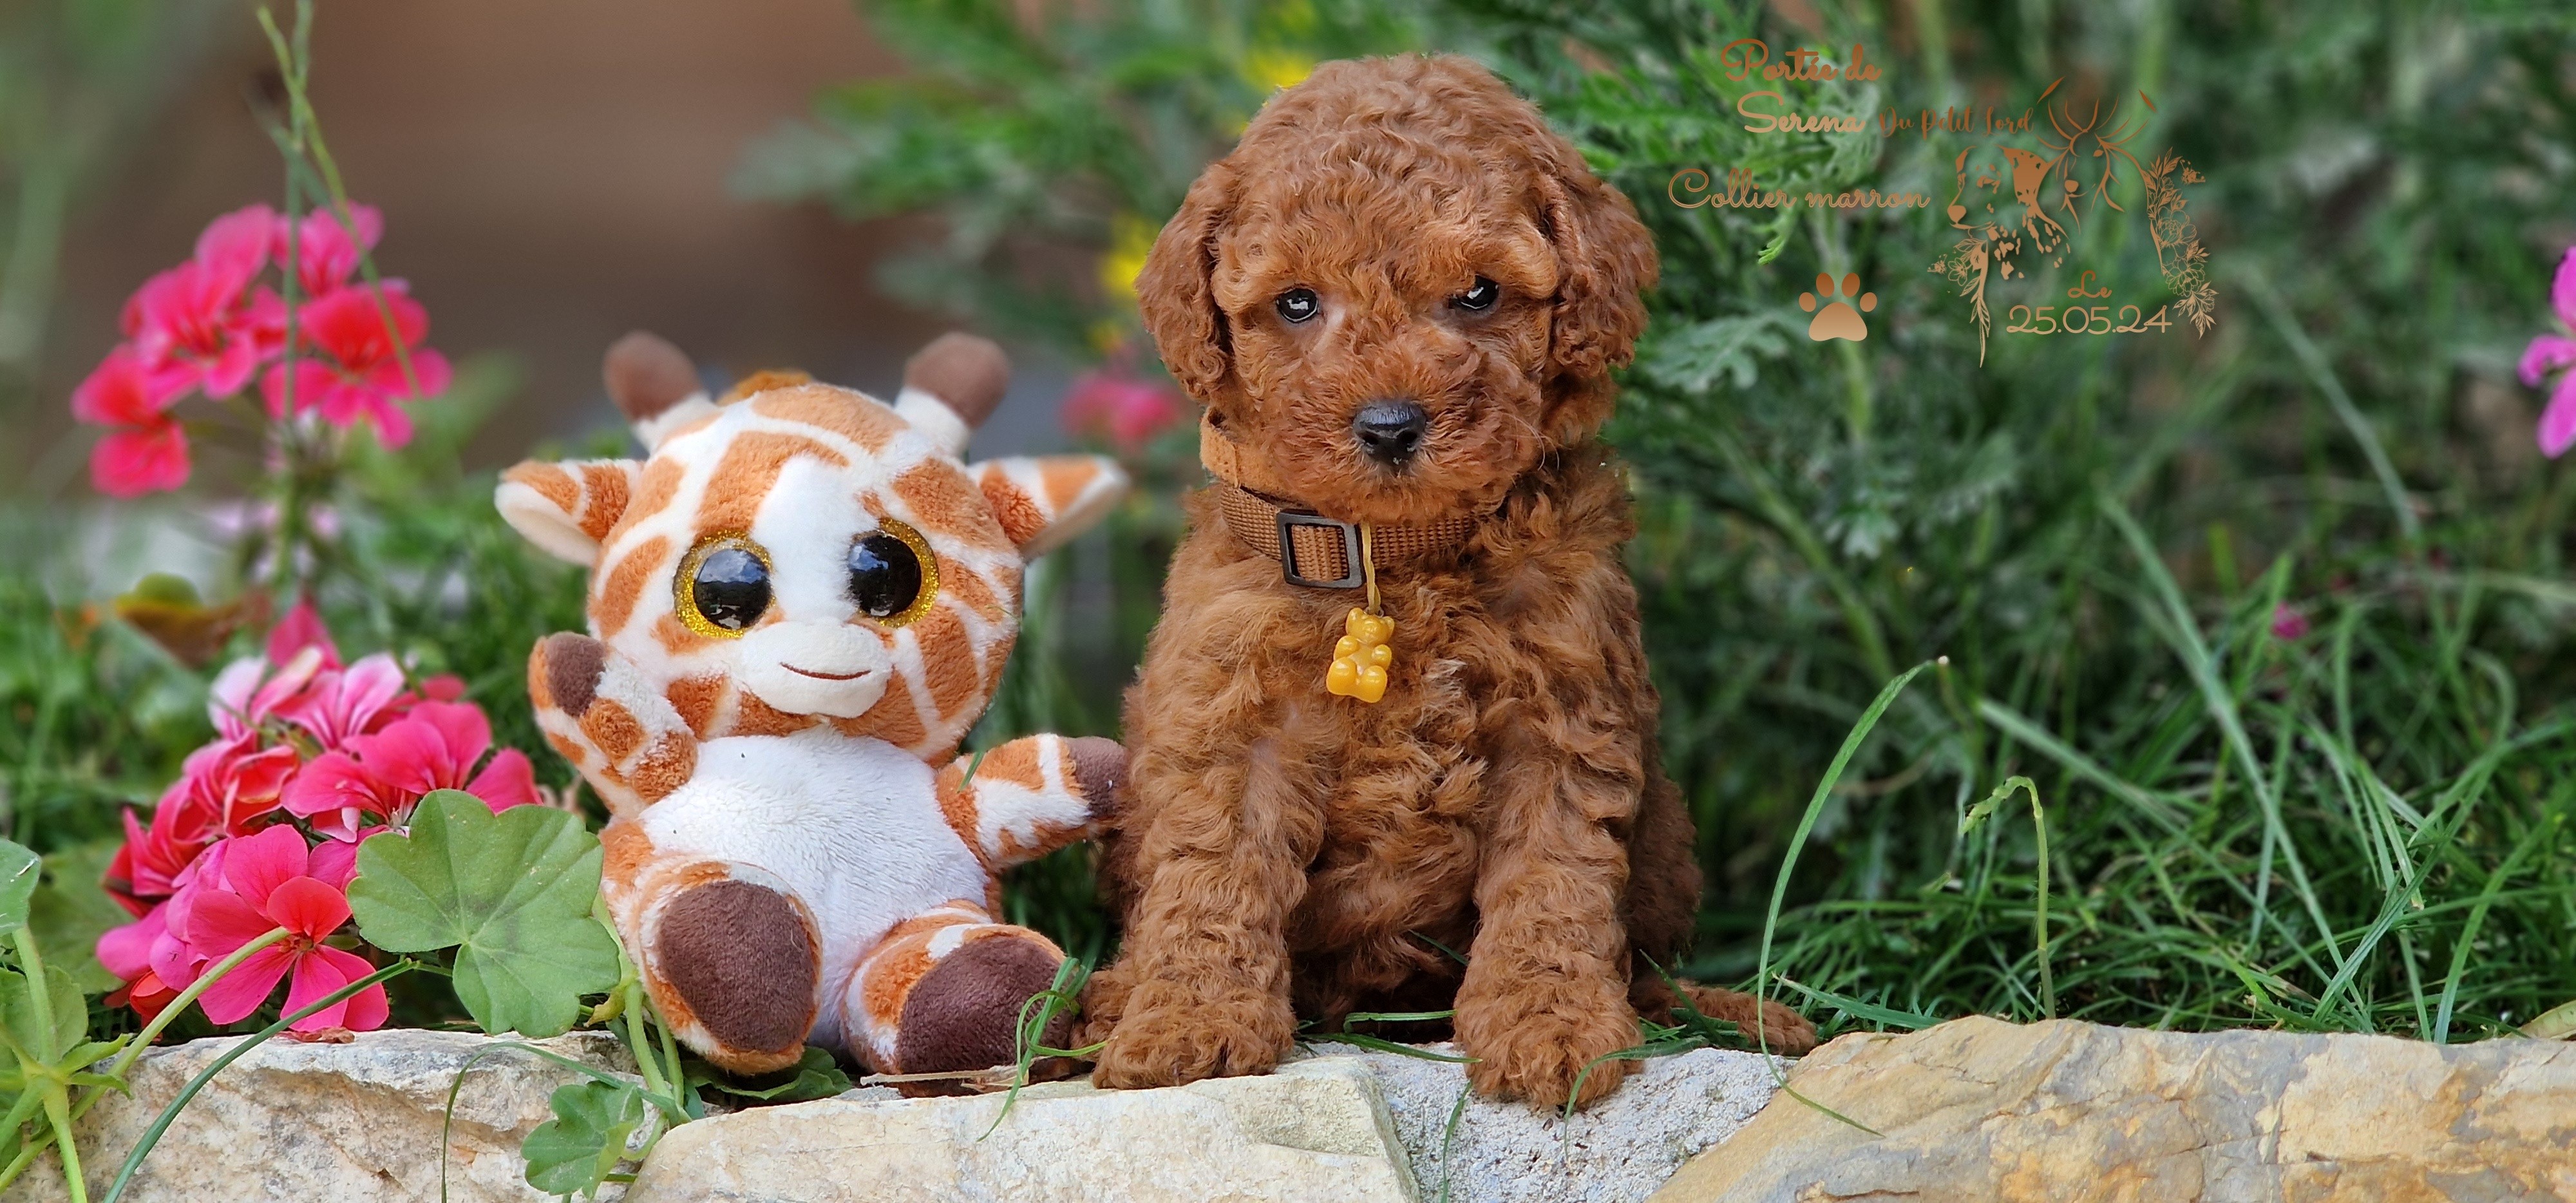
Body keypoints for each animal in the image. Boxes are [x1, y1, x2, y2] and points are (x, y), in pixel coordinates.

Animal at [1077, 54, 1824, 1113]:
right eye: (1297, 303)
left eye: (1477, 293)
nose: (1391, 425)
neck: (1401, 561)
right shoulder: (1232, 717)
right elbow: (1213, 875)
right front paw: (1189, 1022)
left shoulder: (1560, 713)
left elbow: (1552, 883)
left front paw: (1555, 1028)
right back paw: (1110, 997)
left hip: (1666, 847)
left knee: (1645, 963)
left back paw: (1727, 1012)